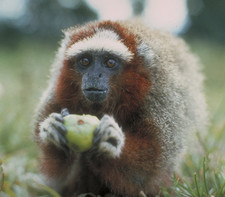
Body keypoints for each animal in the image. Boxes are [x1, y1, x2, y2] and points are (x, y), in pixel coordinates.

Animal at [33, 19, 207, 196]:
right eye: (85, 61)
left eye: (110, 62)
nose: (94, 75)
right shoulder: (59, 91)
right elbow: (59, 180)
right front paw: (53, 134)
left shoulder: (159, 95)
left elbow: (145, 175)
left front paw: (112, 140)